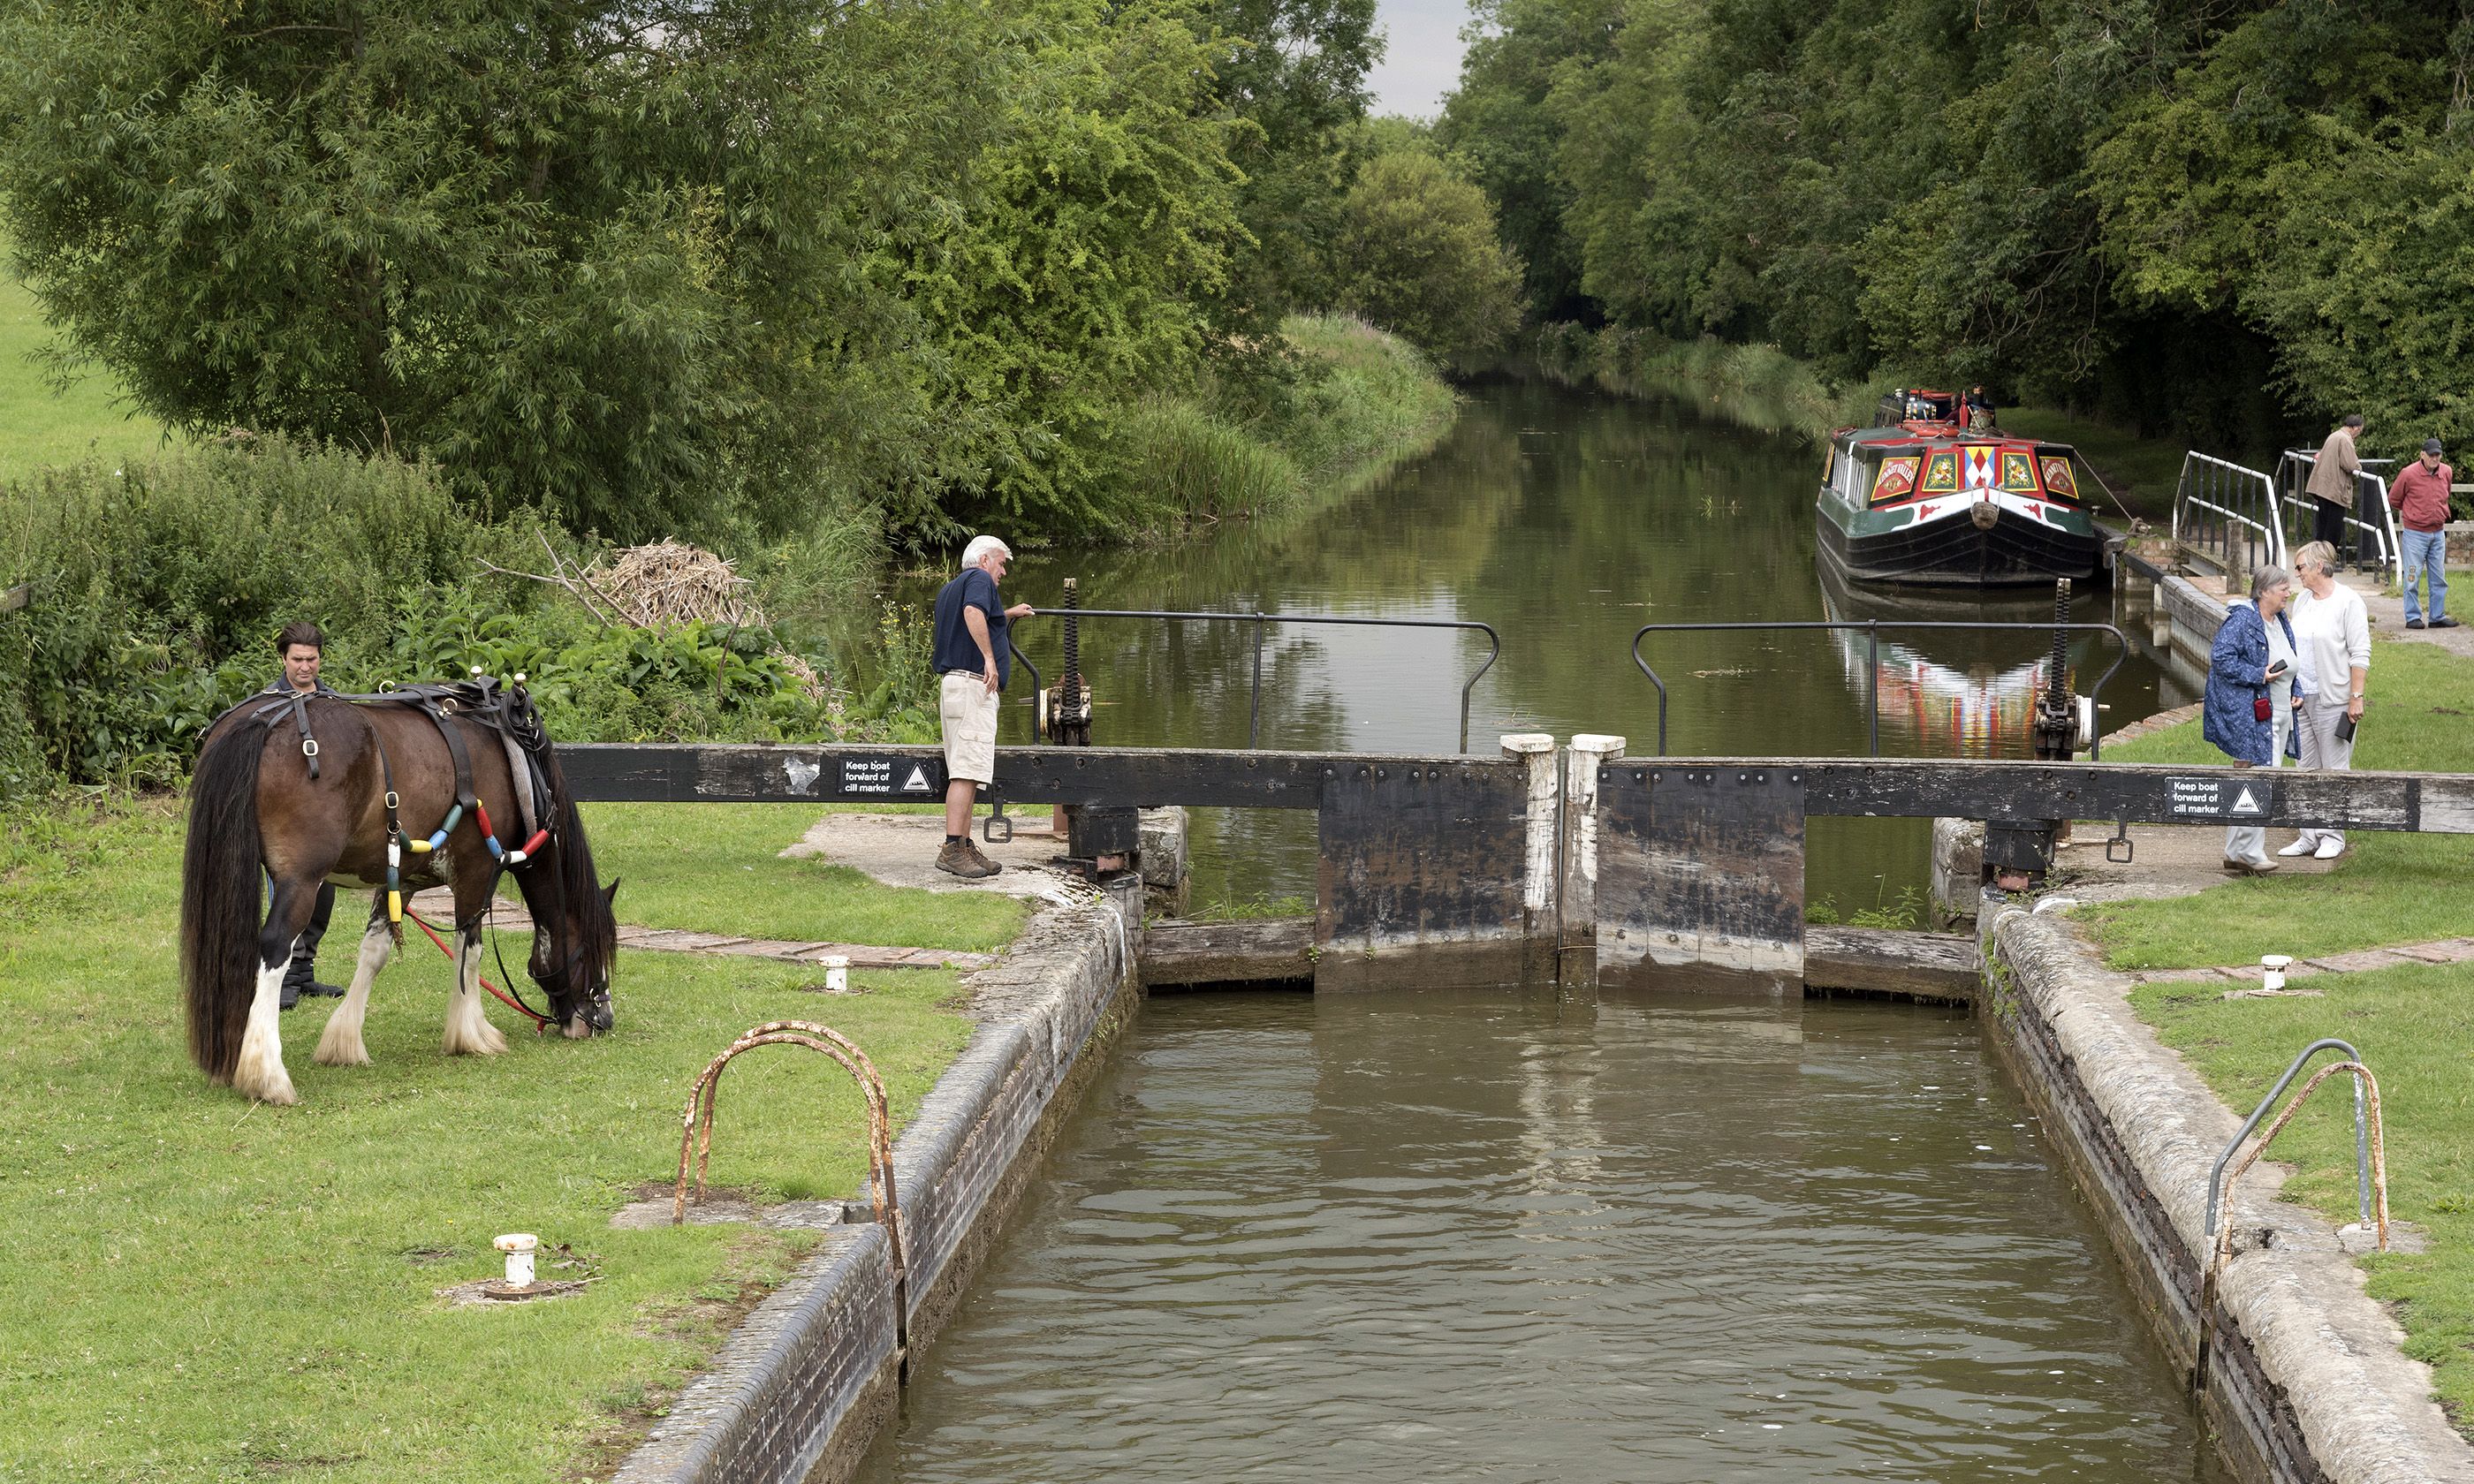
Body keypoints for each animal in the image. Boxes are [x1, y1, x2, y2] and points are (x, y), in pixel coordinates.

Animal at [179, 683, 618, 1105]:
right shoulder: (476, 874)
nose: (603, 1020)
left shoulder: (403, 880)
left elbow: (375, 953)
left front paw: (344, 1041)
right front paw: (472, 1034)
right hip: (301, 881)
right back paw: (267, 1076)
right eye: (593, 954)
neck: (515, 766)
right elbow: (469, 953)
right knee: (274, 950)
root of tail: (260, 720)